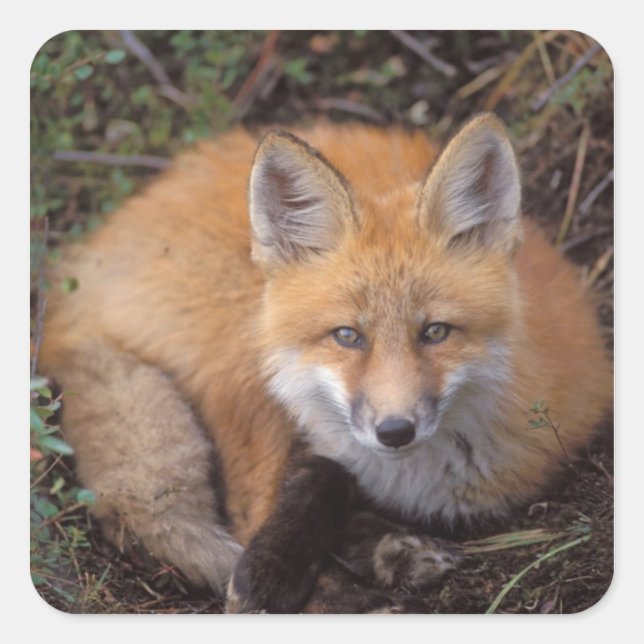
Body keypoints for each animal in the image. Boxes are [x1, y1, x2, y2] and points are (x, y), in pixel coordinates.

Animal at [38, 113, 612, 613]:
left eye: (435, 332)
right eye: (347, 336)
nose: (394, 431)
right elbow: (305, 489)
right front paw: (288, 580)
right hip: (244, 356)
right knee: (242, 511)